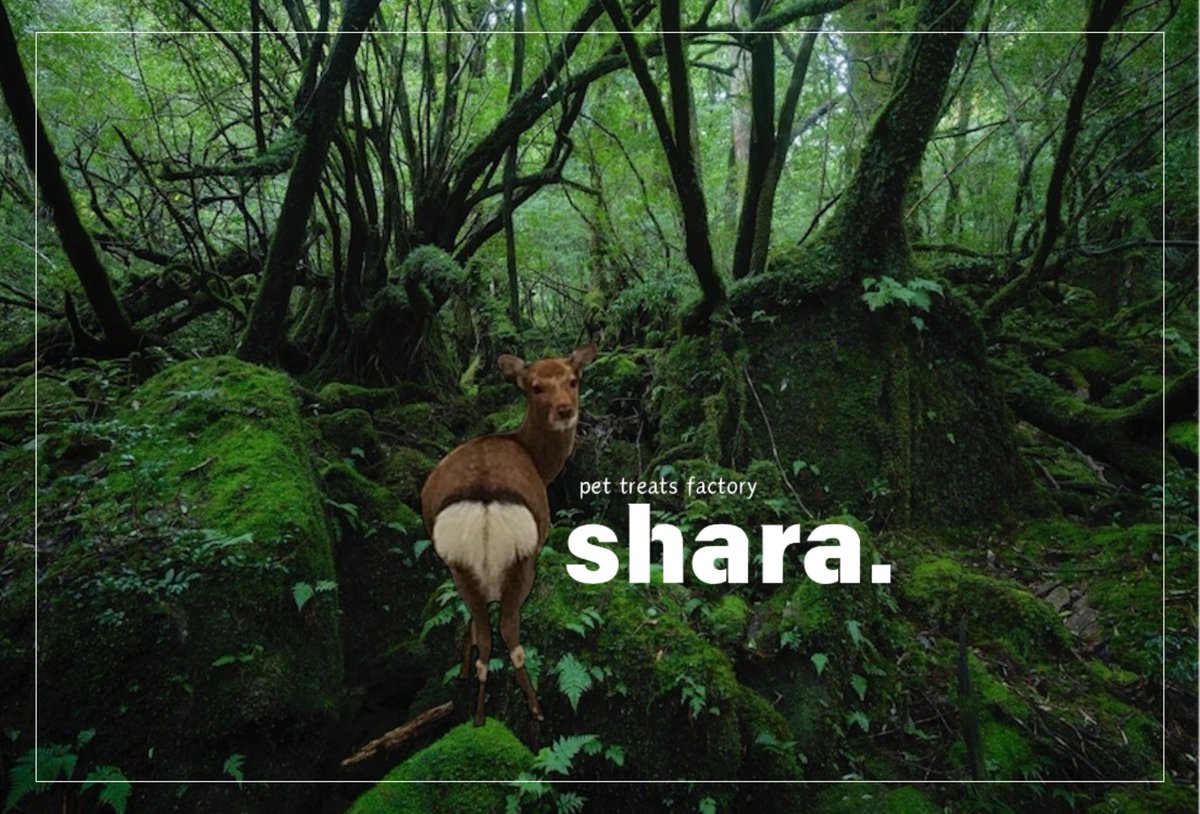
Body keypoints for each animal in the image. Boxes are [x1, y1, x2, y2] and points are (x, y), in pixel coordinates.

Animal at [420, 343, 596, 741]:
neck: (539, 462)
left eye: (573, 380)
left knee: (482, 631)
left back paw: (477, 712)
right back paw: (534, 713)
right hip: (522, 560)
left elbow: (470, 628)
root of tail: (485, 502)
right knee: (509, 635)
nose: (565, 410)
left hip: (459, 564)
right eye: (535, 386)